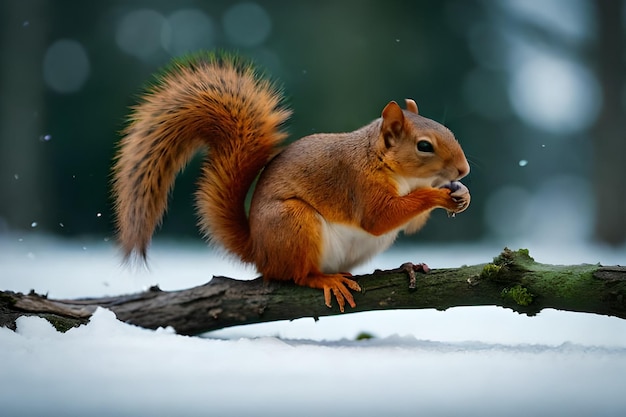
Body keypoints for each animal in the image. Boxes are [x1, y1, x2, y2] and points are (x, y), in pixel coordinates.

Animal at [112, 52, 468, 310]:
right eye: (424, 146)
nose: (463, 170)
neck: (395, 171)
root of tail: (258, 251)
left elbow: (410, 223)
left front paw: (459, 194)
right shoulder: (359, 184)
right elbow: (380, 217)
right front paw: (438, 196)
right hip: (292, 223)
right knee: (297, 275)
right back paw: (324, 280)